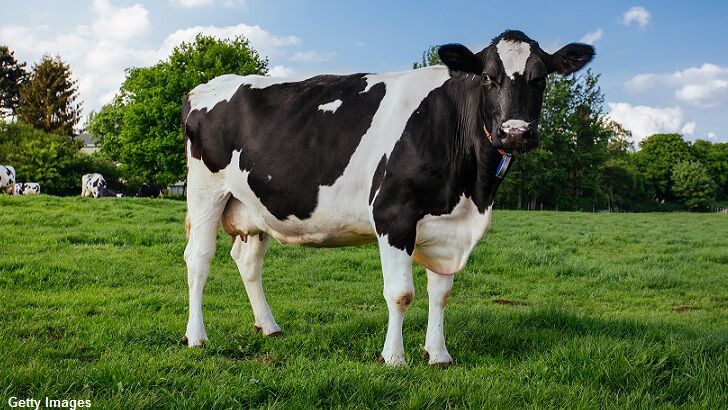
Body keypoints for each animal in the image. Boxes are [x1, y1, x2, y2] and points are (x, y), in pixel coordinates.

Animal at [181, 30, 594, 366]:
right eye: (489, 77)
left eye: (540, 78)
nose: (515, 132)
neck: (471, 193)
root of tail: (207, 85)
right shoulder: (393, 215)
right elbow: (401, 294)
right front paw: (394, 358)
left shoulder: (446, 226)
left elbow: (441, 293)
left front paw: (439, 354)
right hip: (205, 190)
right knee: (199, 257)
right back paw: (196, 336)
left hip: (256, 205)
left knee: (248, 261)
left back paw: (268, 326)